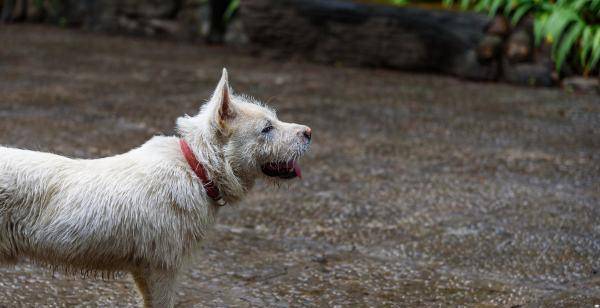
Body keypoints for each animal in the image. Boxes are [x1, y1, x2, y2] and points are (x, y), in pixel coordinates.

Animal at [0, 68, 310, 306]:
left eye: (274, 120)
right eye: (266, 129)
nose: (309, 132)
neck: (196, 168)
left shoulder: (146, 271)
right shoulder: (162, 268)